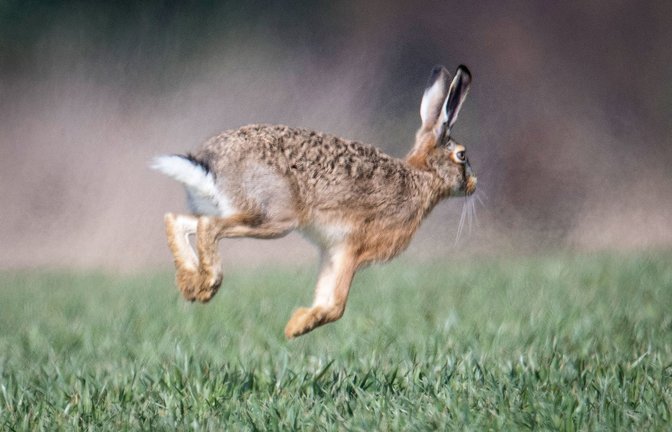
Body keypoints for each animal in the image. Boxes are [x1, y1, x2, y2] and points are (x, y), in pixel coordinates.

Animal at [151, 64, 476, 338]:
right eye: (461, 155)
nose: (474, 184)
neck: (423, 176)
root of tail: (211, 164)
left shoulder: (332, 250)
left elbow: (325, 293)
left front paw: (298, 322)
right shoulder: (352, 247)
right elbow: (337, 306)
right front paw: (296, 327)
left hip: (230, 209)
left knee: (178, 220)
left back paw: (190, 284)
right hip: (274, 218)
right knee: (209, 227)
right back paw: (207, 286)